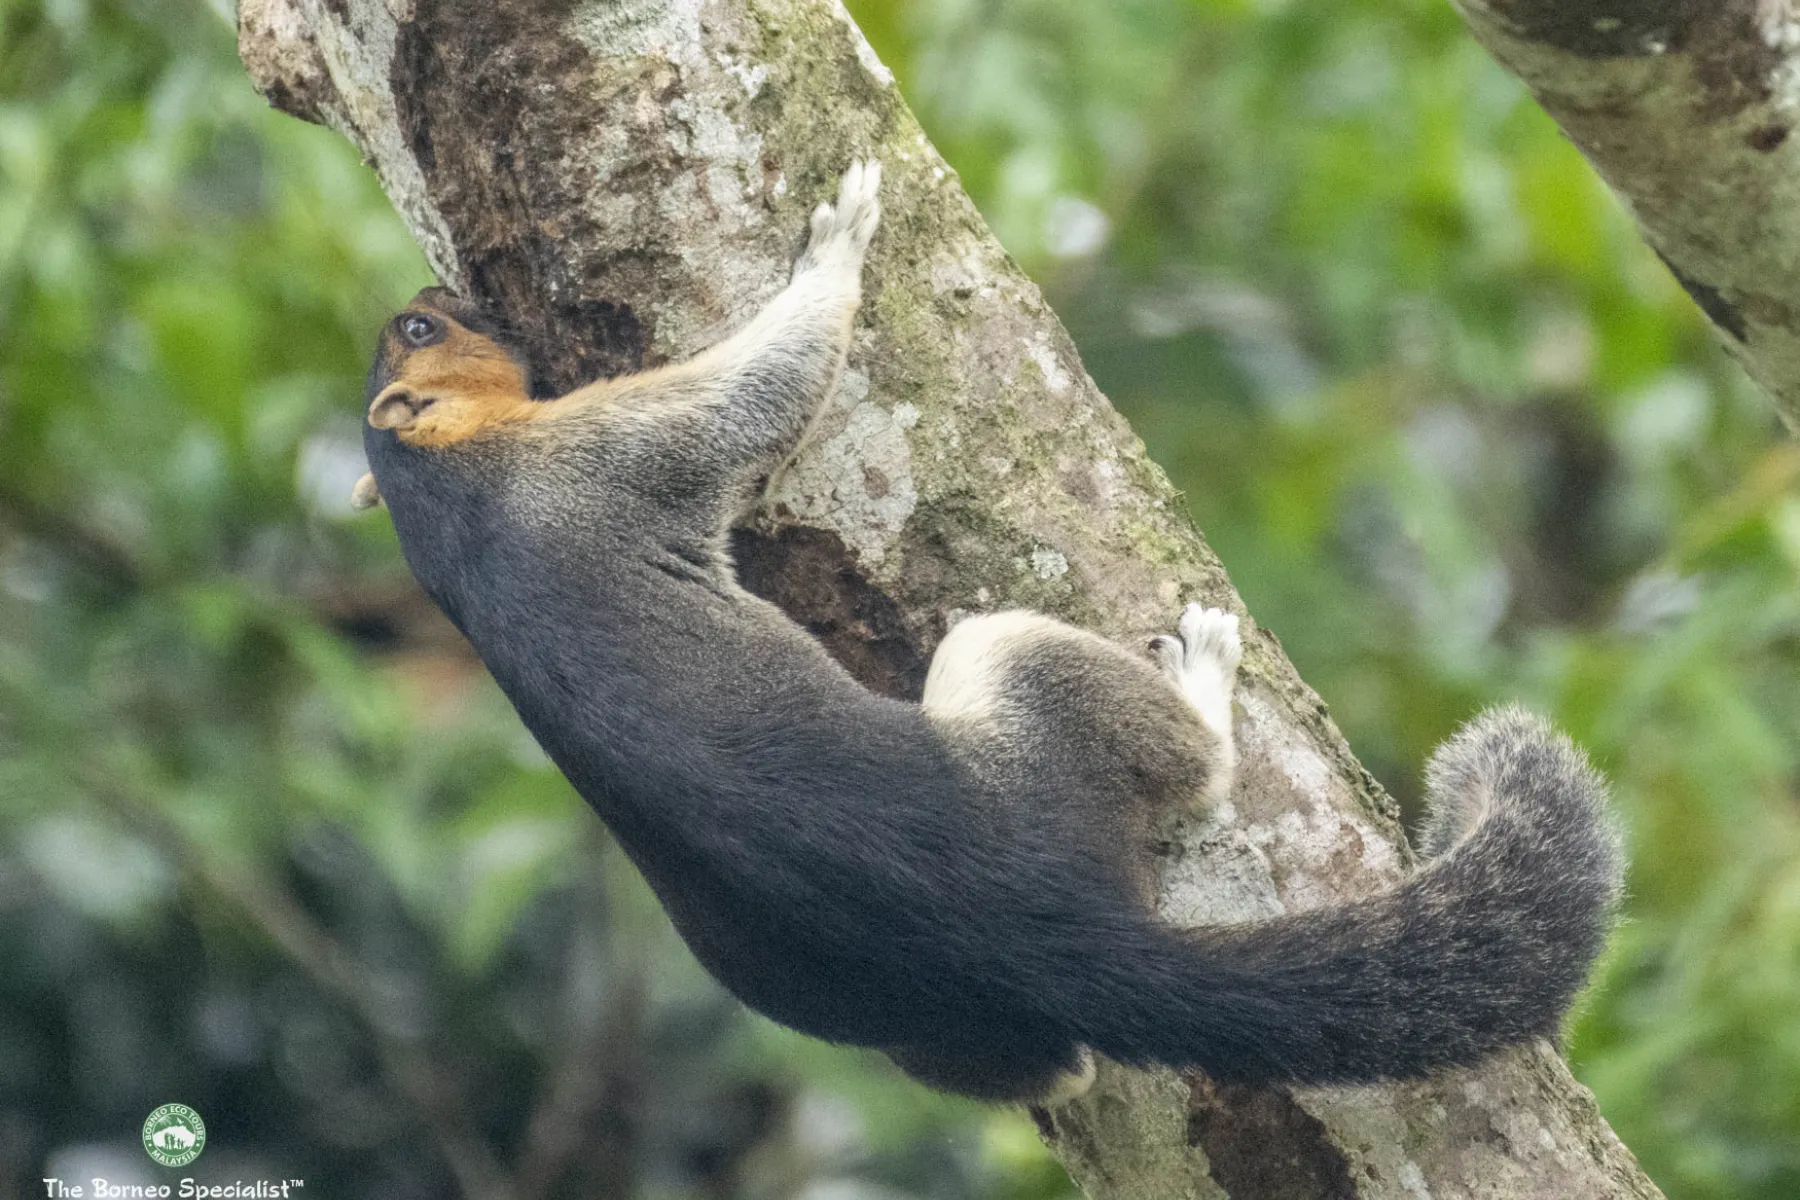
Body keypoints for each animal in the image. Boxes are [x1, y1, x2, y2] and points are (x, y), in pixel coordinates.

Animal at [352, 161, 1623, 1103]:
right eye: (420, 328)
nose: (441, 283)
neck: (440, 495)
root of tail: (1052, 932)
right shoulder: (606, 455)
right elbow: (762, 387)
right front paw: (837, 244)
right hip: (1013, 668)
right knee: (1178, 762)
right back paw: (1208, 680)